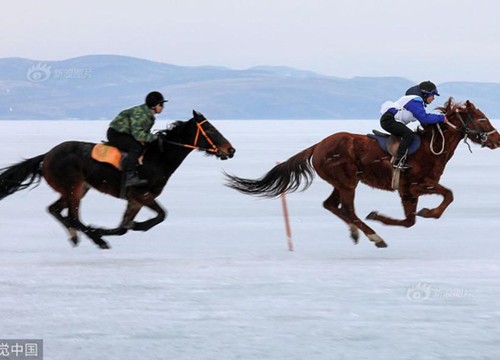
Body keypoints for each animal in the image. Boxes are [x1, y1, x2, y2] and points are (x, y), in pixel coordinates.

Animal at [0, 111, 236, 249]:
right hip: (74, 188)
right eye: (210, 129)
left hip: (77, 189)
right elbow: (159, 216)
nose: (230, 150)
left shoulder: (136, 200)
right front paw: (110, 230)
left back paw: (77, 237)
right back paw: (96, 238)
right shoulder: (141, 194)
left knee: (56, 210)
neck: (158, 157)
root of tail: (47, 155)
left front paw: (133, 225)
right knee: (72, 216)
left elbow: (127, 226)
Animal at [227, 99, 500, 250]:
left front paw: (390, 216)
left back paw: (357, 232)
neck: (430, 148)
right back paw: (374, 236)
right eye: (482, 119)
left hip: (342, 182)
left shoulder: (407, 192)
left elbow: (410, 220)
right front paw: (428, 212)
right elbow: (448, 195)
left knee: (331, 205)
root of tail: (318, 146)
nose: (497, 139)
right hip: (348, 183)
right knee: (348, 209)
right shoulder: (416, 185)